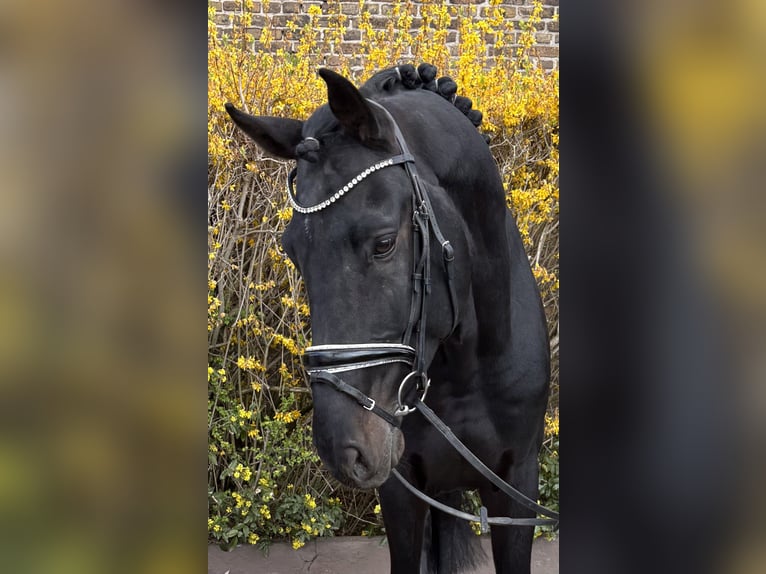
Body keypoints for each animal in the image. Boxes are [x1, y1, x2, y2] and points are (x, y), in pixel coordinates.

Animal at [225, 64, 551, 574]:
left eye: (383, 243)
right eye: (292, 252)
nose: (342, 448)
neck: (467, 369)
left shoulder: (516, 489)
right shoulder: (402, 489)